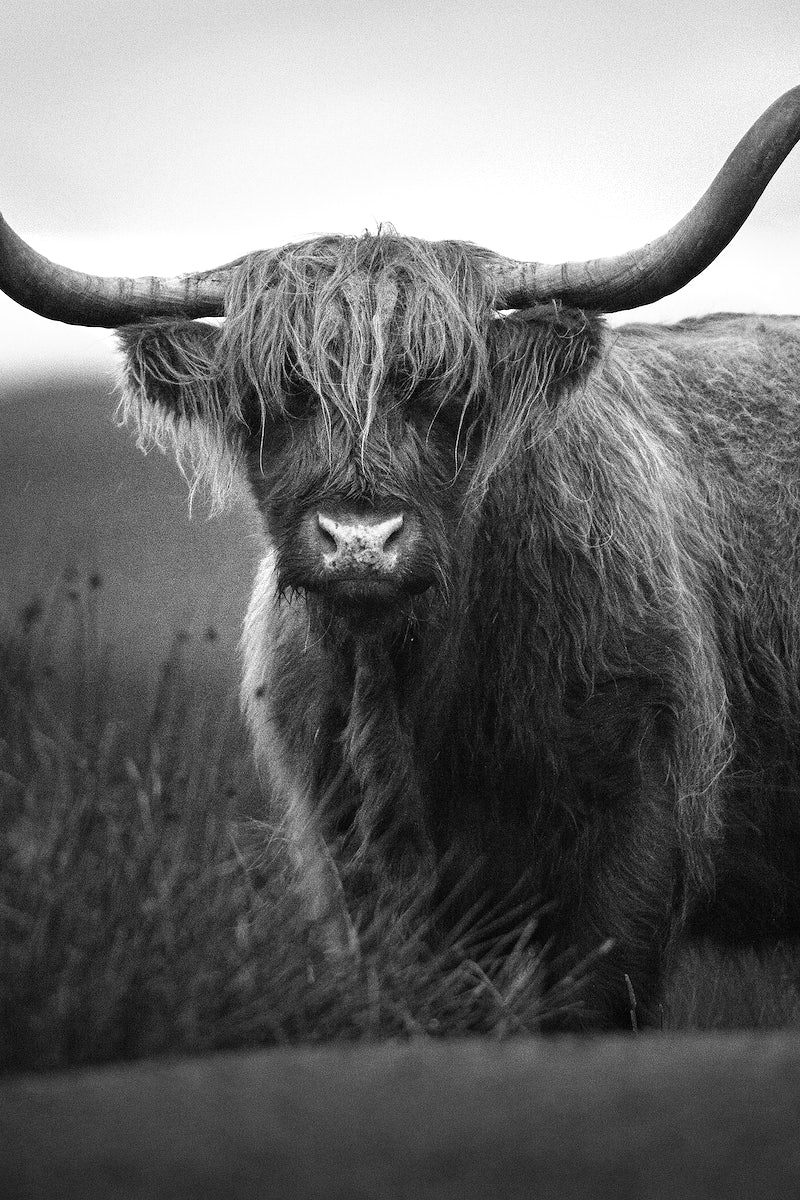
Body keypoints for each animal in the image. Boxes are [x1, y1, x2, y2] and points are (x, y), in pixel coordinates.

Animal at [3, 87, 800, 1029]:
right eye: (275, 399)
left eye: (446, 397)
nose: (359, 541)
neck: (413, 694)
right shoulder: (353, 864)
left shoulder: (642, 836)